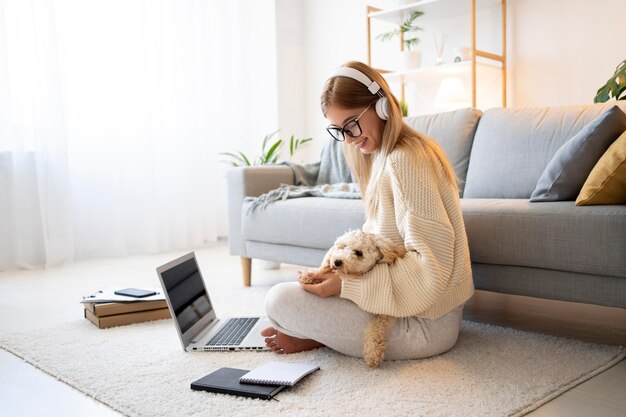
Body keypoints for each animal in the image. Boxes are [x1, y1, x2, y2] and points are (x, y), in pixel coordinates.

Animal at [302, 229, 408, 366]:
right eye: (342, 247)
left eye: (358, 253)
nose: (337, 261)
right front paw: (309, 275)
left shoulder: (388, 310)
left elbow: (376, 327)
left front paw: (373, 352)